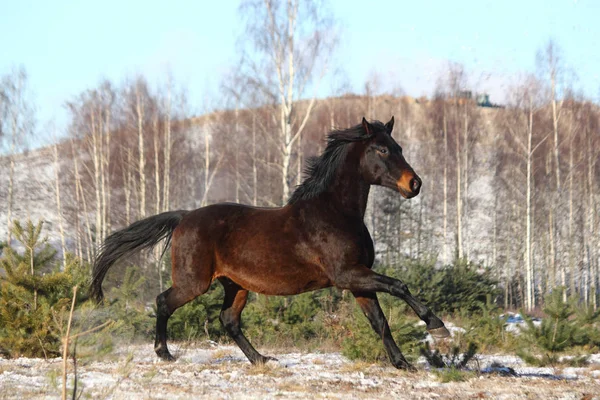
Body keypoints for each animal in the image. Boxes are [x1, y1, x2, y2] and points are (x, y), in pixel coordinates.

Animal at [88, 117, 446, 370]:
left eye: (399, 147)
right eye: (382, 149)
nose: (414, 184)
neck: (335, 212)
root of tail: (184, 217)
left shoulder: (358, 280)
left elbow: (379, 321)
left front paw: (402, 363)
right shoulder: (348, 274)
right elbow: (399, 286)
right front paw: (437, 325)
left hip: (234, 284)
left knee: (229, 320)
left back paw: (260, 359)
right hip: (194, 282)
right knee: (164, 301)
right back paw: (164, 353)